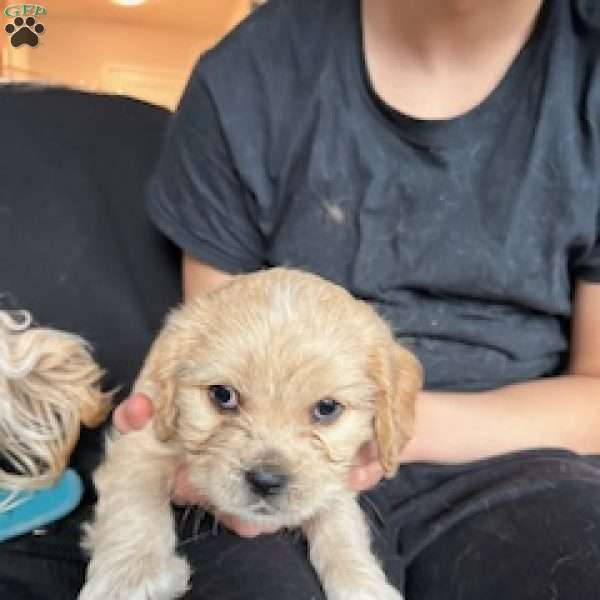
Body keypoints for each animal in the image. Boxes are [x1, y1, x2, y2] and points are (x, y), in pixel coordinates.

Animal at [81, 268, 422, 600]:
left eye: (327, 408)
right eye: (223, 395)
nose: (266, 481)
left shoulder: (335, 475)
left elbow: (340, 521)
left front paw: (363, 582)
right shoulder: (144, 432)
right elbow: (136, 494)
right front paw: (133, 576)